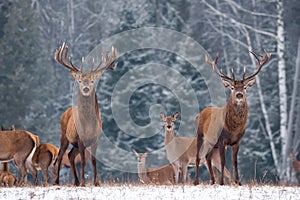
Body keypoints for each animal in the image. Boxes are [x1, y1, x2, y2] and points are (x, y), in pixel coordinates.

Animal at [53, 41, 116, 186]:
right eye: (80, 81)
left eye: (92, 81)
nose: (86, 88)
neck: (88, 124)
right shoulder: (80, 139)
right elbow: (82, 160)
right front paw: (83, 182)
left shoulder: (95, 138)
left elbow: (93, 160)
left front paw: (96, 182)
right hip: (64, 135)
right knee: (60, 155)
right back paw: (57, 181)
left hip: (74, 143)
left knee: (70, 155)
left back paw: (75, 181)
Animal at [193, 49, 270, 185]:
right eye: (232, 87)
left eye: (245, 87)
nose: (239, 95)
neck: (233, 129)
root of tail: (201, 113)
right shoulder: (221, 140)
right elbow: (223, 161)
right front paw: (222, 182)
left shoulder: (237, 141)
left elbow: (235, 162)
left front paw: (238, 182)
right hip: (200, 135)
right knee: (198, 157)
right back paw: (196, 181)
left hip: (212, 143)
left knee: (207, 157)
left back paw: (212, 180)